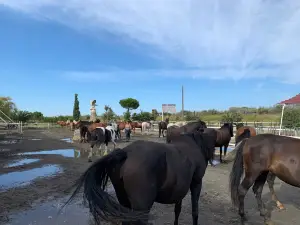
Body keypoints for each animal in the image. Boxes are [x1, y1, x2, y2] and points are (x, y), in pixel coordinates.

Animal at [62, 131, 216, 224]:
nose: (213, 161)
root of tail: (125, 153)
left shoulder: (180, 190)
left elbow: (177, 210)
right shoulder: (196, 183)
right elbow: (195, 211)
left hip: (124, 201)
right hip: (142, 207)